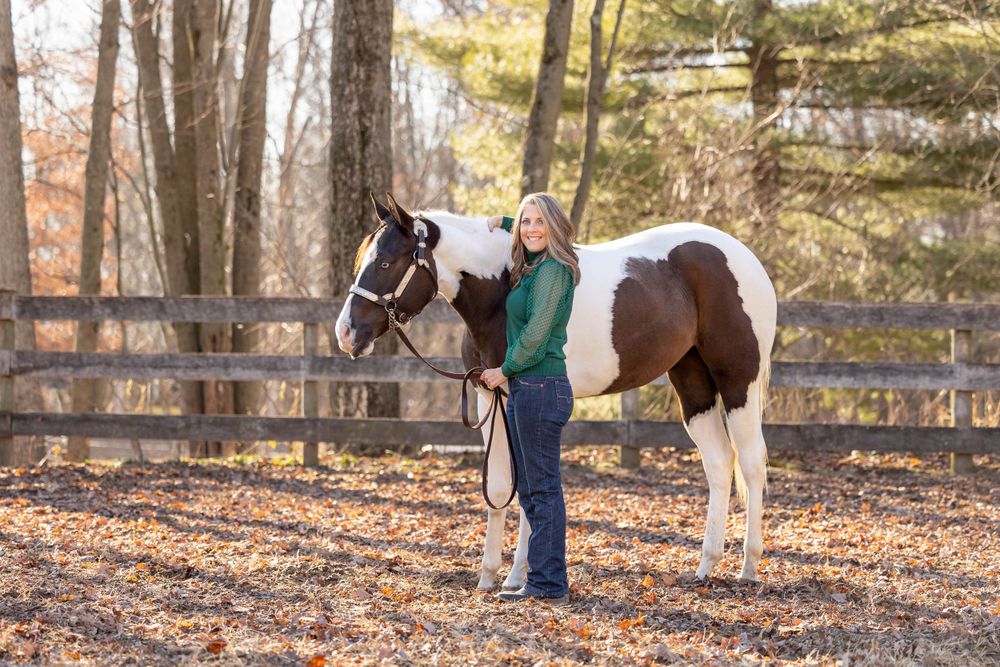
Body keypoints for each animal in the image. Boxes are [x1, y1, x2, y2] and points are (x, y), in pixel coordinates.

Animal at [335, 193, 776, 588]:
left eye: (386, 262)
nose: (346, 333)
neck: (500, 291)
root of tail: (746, 258)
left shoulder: (521, 399)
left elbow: (528, 487)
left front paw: (517, 576)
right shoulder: (487, 397)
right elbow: (501, 486)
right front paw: (488, 576)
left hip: (738, 381)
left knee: (752, 462)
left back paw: (749, 567)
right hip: (692, 382)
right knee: (719, 462)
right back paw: (706, 566)